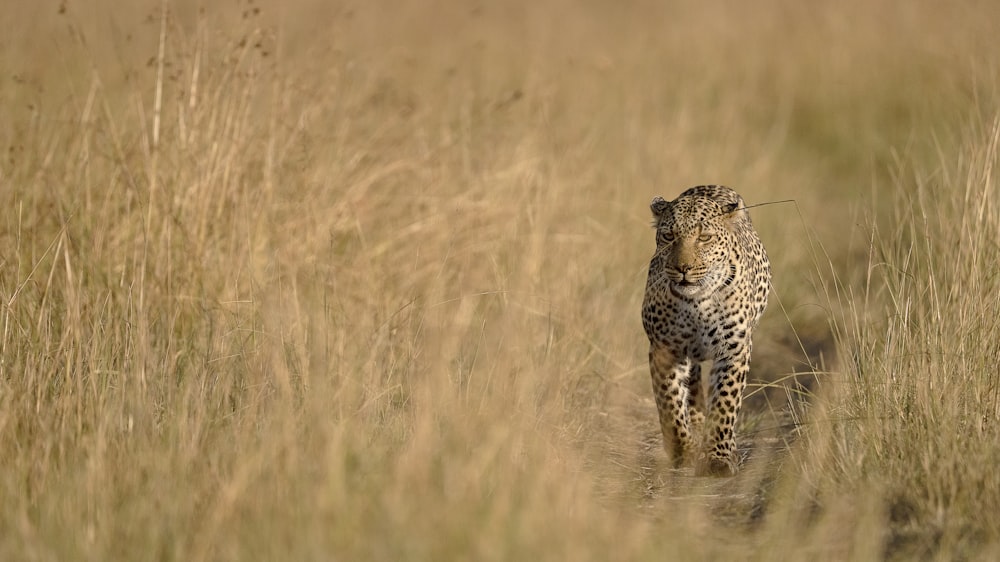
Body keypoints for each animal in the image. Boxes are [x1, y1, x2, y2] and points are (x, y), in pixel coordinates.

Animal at [644, 186, 768, 474]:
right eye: (669, 236)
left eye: (704, 238)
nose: (682, 269)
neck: (696, 302)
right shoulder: (665, 349)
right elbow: (670, 403)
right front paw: (683, 452)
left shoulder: (734, 349)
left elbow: (725, 402)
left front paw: (718, 457)